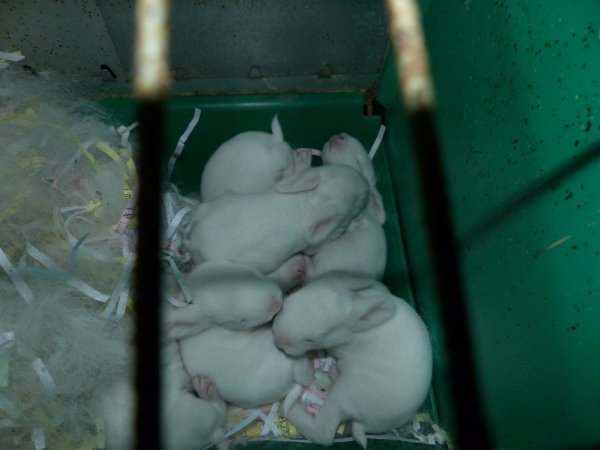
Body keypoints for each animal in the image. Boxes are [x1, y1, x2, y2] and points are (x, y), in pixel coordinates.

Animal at [191, 163, 370, 272]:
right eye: (358, 198)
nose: (366, 182)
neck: (309, 202)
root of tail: (195, 239)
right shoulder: (317, 244)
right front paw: (358, 222)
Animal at [272, 280, 432, 448]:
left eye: (312, 339)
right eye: (291, 296)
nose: (277, 338)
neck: (353, 334)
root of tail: (367, 426)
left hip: (344, 394)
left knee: (324, 432)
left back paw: (289, 409)